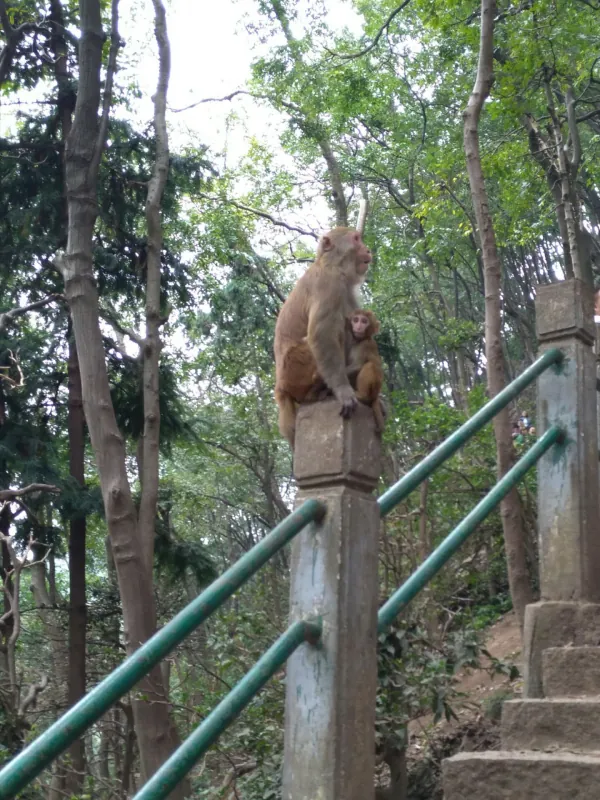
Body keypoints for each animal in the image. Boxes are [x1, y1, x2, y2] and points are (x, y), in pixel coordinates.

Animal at [276, 228, 370, 446]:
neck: (333, 266)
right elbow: (321, 335)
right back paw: (319, 389)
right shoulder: (329, 286)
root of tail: (281, 387)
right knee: (330, 331)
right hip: (295, 369)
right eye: (356, 239)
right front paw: (343, 390)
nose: (368, 249)